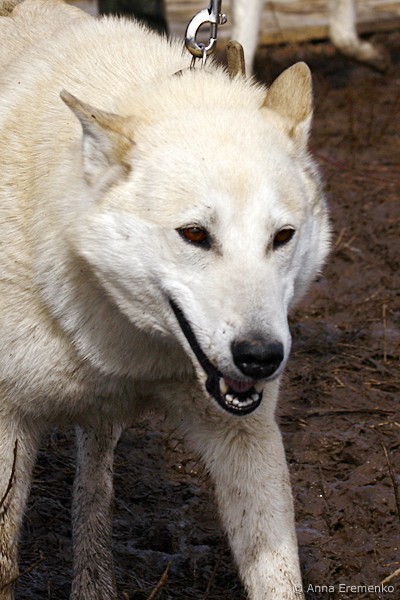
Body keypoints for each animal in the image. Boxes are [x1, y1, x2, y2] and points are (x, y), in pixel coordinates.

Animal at [0, 1, 330, 598]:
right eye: (195, 234)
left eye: (282, 237)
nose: (261, 357)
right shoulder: (9, 420)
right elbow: (5, 560)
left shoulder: (247, 433)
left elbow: (279, 576)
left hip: (101, 417)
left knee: (95, 482)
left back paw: (95, 581)